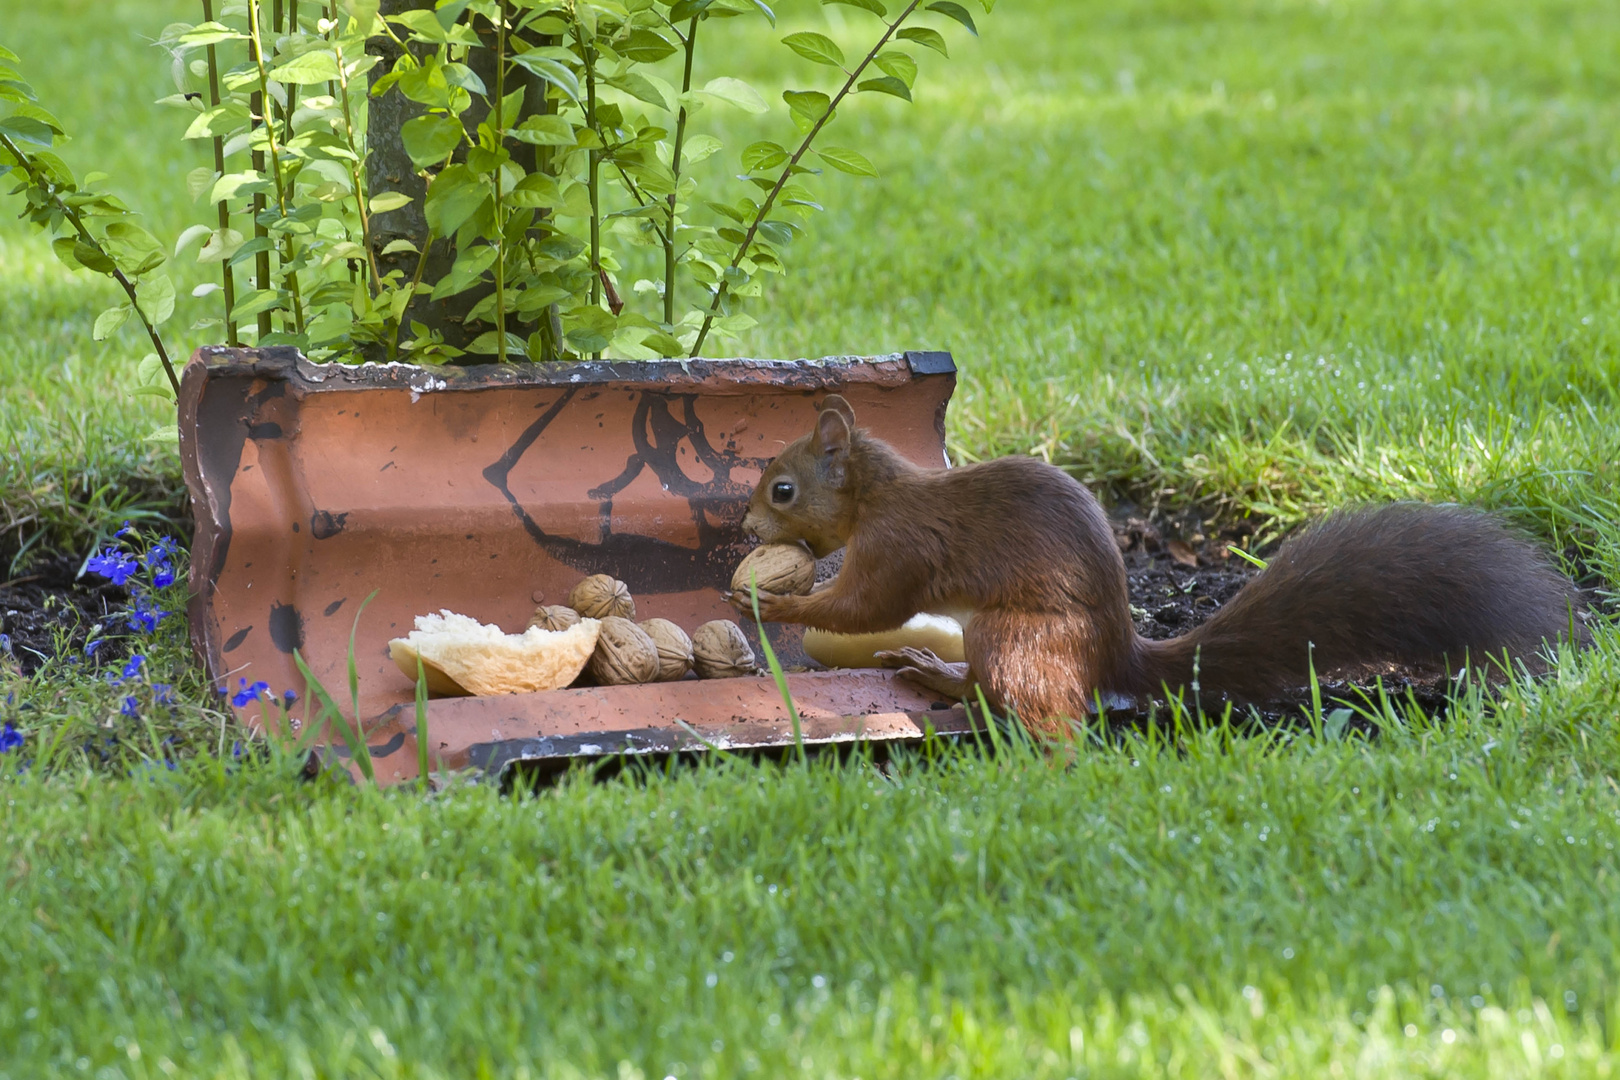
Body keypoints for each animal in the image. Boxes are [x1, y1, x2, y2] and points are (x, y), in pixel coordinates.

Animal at [729, 393, 1587, 738]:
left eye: (783, 487)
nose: (744, 525)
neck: (880, 494)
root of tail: (1117, 654)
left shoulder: (900, 547)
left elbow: (865, 607)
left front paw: (776, 605)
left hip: (1012, 636)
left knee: (1035, 709)